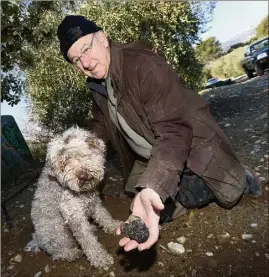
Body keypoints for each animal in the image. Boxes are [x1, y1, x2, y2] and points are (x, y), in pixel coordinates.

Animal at [27, 126, 121, 268]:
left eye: (81, 152)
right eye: (63, 162)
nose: (82, 175)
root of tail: (38, 238)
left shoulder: (94, 202)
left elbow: (103, 216)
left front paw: (114, 226)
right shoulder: (72, 212)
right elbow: (87, 240)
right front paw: (100, 258)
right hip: (58, 232)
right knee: (57, 253)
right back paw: (71, 253)